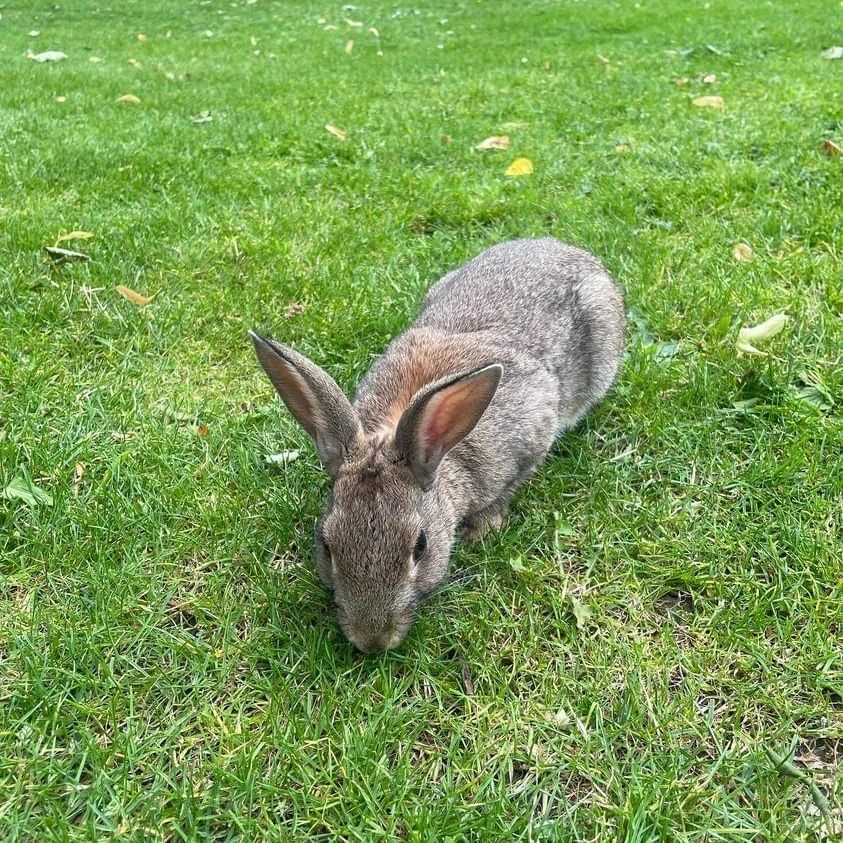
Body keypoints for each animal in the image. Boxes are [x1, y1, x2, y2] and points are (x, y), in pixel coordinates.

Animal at [250, 237, 625, 654]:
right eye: (327, 545)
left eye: (421, 546)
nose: (372, 641)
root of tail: (567, 249)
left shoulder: (532, 434)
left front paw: (481, 531)